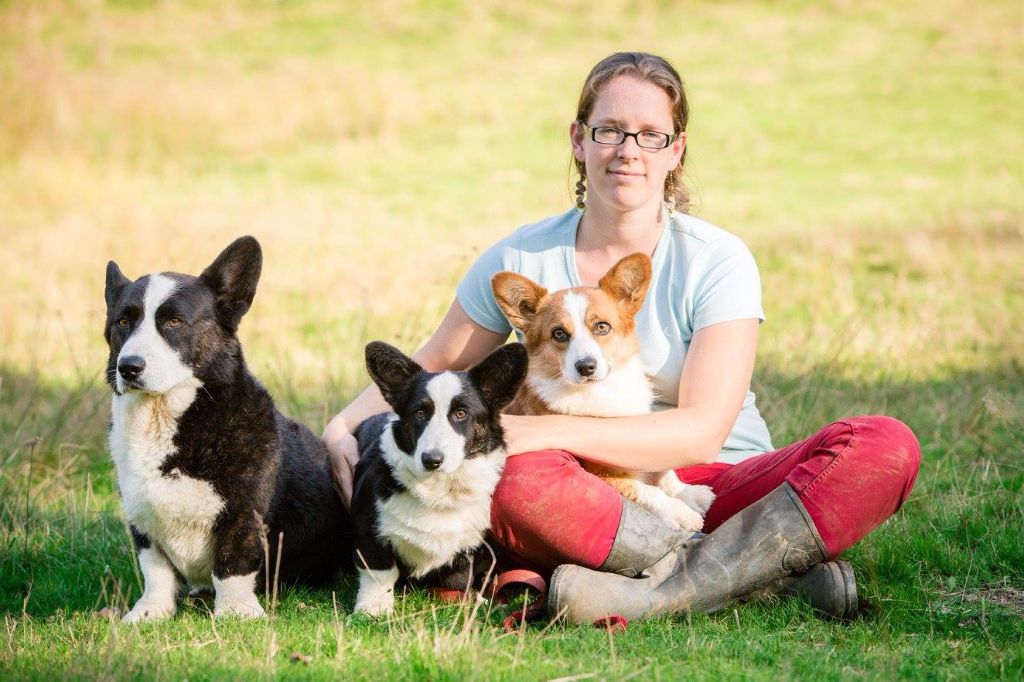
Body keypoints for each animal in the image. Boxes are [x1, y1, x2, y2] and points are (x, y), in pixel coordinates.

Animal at [103, 235, 352, 622]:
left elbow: (232, 564)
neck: (165, 419)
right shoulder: (142, 519)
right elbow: (155, 571)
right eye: (123, 321)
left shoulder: (242, 513)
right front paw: (149, 613)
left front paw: (236, 613)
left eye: (174, 321)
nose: (129, 367)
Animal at [352, 342, 528, 614]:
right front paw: (373, 609)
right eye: (419, 413)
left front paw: (471, 599)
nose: (431, 460)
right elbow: (379, 573)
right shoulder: (369, 532)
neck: (439, 489)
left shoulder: (471, 545)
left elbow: (458, 577)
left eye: (461, 413)